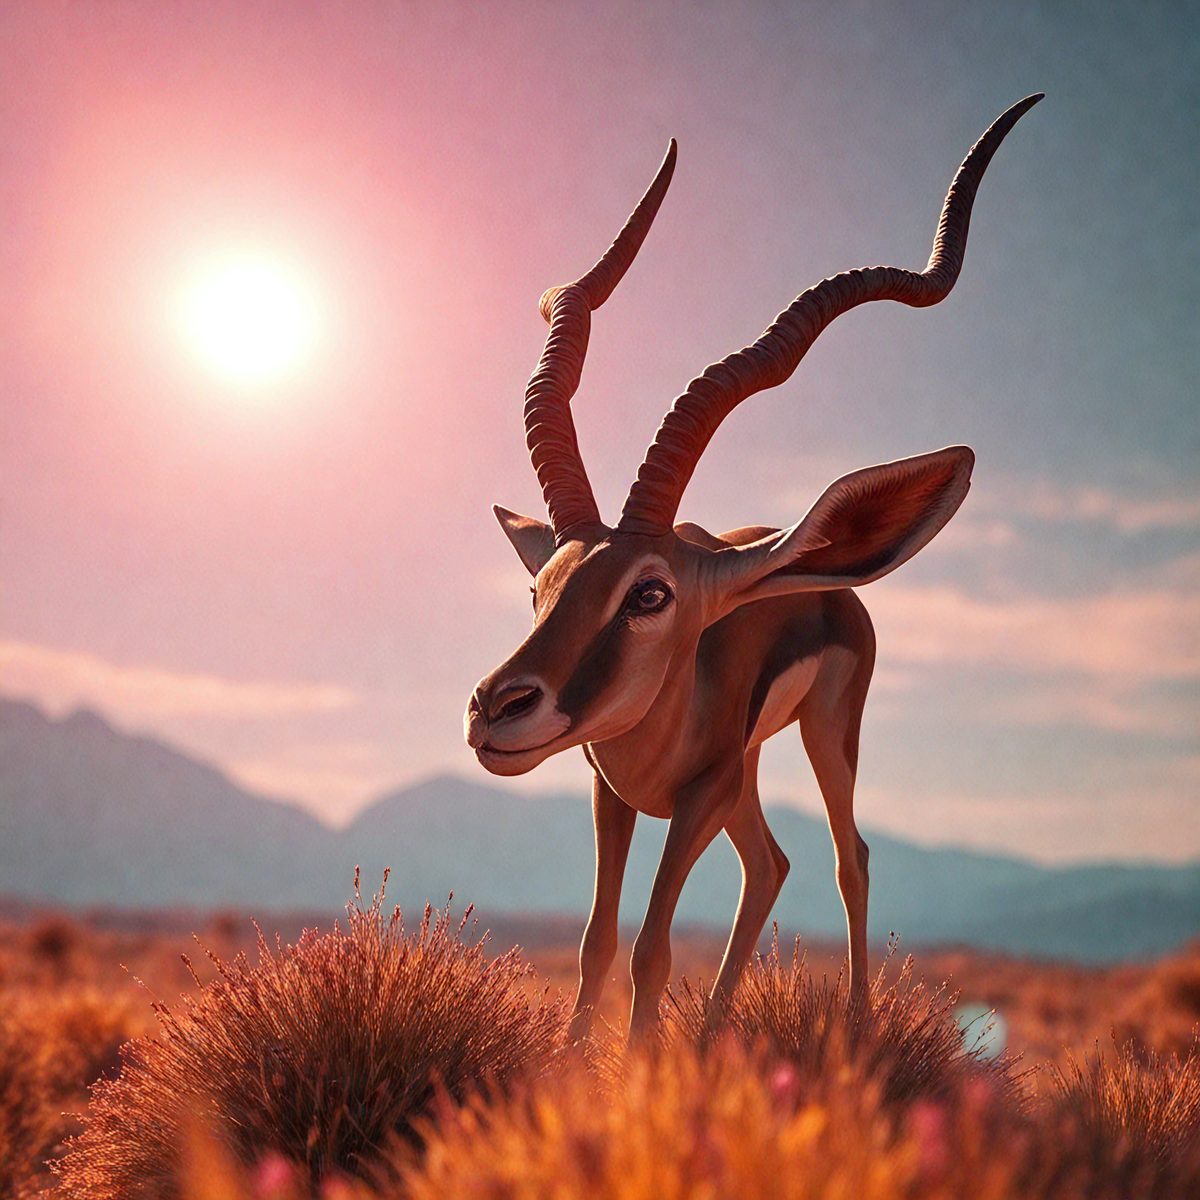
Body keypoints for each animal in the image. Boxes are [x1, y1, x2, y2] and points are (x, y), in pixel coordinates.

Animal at [464, 96, 1041, 1042]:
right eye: (539, 587)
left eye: (650, 592)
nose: (497, 709)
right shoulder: (611, 791)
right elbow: (596, 944)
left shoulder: (701, 794)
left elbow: (651, 951)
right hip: (750, 777)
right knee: (769, 864)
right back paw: (709, 1038)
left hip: (826, 733)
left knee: (850, 857)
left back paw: (850, 1025)